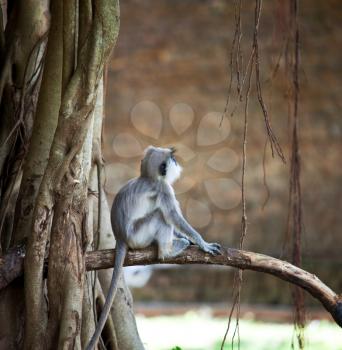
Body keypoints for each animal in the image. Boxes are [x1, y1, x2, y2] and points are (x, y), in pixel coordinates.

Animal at [86, 146, 222, 350]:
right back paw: (168, 251)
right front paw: (202, 243)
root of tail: (121, 237)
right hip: (138, 235)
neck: (148, 178)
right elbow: (172, 216)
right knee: (159, 215)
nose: (176, 160)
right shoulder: (163, 189)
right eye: (171, 158)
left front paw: (189, 239)